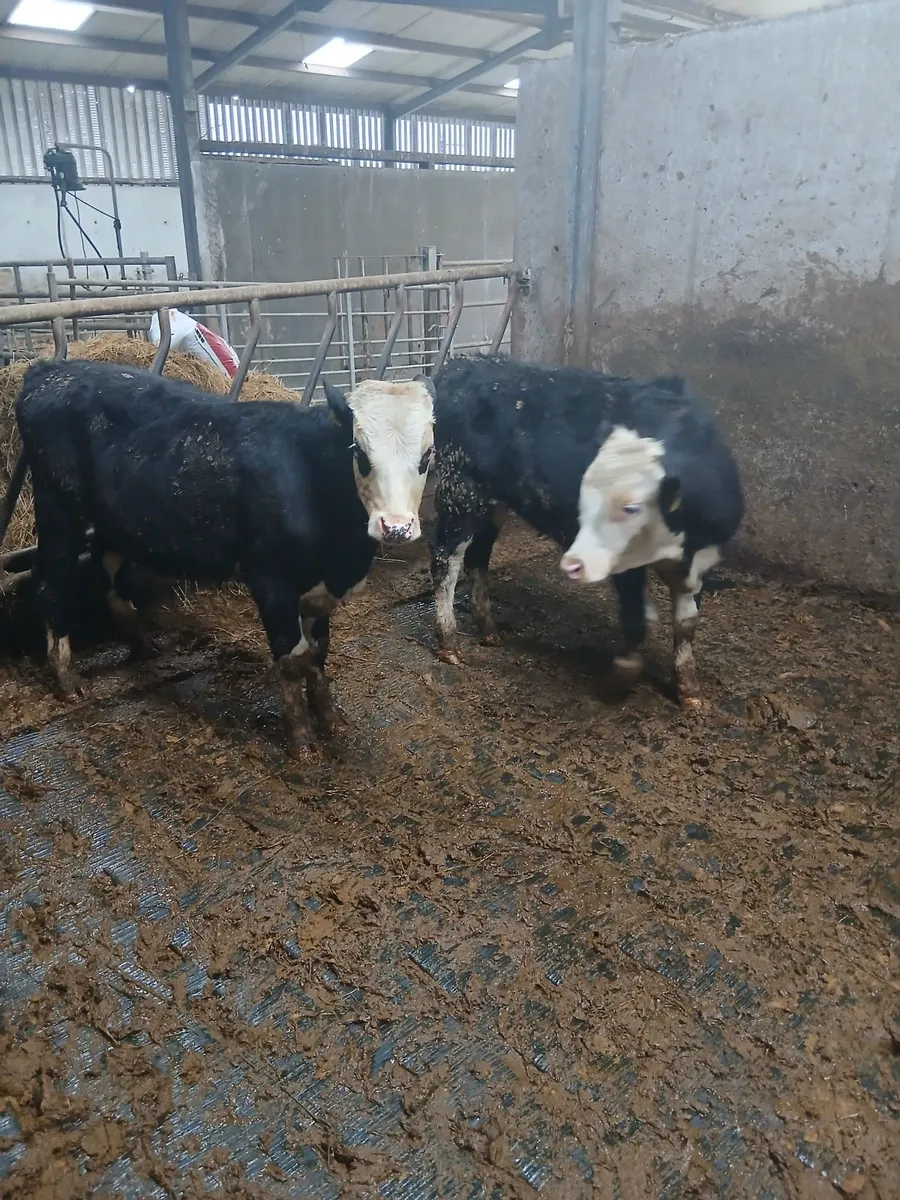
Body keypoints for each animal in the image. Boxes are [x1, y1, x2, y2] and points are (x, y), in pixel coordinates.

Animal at [16, 359, 435, 754]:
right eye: (359, 452)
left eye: (427, 455)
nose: (395, 527)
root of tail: (51, 370)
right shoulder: (270, 581)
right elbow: (292, 660)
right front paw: (301, 739)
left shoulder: (318, 593)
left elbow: (318, 655)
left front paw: (331, 718)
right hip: (59, 509)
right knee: (51, 581)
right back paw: (67, 678)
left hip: (115, 518)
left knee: (109, 569)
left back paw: (143, 644)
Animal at [429, 355, 742, 707]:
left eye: (630, 506)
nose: (573, 563)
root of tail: (461, 363)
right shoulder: (626, 565)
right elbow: (639, 620)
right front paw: (621, 677)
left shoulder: (698, 562)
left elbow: (687, 623)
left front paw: (689, 690)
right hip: (460, 490)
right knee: (446, 560)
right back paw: (449, 642)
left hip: (493, 499)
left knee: (478, 556)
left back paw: (488, 629)